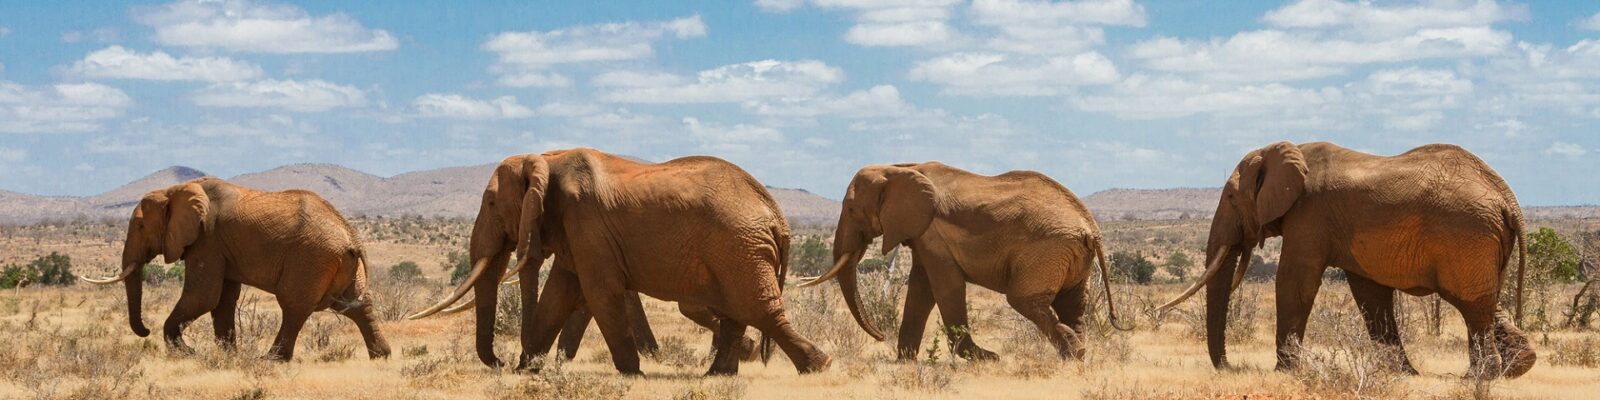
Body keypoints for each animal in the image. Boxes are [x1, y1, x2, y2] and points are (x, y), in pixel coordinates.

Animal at [82, 177, 390, 360]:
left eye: (140, 226)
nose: (144, 331)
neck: (174, 190)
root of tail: (352, 236)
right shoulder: (221, 247)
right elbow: (222, 300)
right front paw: (227, 356)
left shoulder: (207, 239)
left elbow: (203, 296)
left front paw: (187, 353)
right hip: (337, 264)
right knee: (357, 306)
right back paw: (381, 356)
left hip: (311, 259)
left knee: (293, 306)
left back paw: (270, 360)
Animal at [406, 148, 832, 376]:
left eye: (492, 203)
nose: (502, 363)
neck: (546, 158)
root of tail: (777, 215)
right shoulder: (574, 231)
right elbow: (560, 294)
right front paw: (529, 371)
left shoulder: (586, 222)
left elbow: (599, 291)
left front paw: (632, 372)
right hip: (735, 250)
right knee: (736, 312)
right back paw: (718, 375)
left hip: (739, 247)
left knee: (758, 309)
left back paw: (818, 365)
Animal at [806, 160, 1132, 361]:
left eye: (850, 209)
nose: (879, 335)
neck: (900, 167)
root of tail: (1090, 228)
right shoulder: (924, 234)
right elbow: (921, 287)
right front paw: (905, 361)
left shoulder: (933, 232)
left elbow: (945, 287)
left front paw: (985, 359)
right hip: (1069, 254)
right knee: (1073, 303)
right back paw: (1076, 357)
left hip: (1047, 251)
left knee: (1025, 300)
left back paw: (1073, 354)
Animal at [1152, 142, 1536, 379]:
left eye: (1231, 198)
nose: (1230, 367)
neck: (1286, 150)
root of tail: (1507, 198)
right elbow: (1370, 295)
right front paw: (1403, 374)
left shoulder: (1310, 216)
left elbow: (1295, 282)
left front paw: (1285, 373)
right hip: (1481, 242)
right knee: (1485, 302)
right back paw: (1516, 368)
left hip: (1466, 236)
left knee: (1471, 305)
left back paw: (1479, 378)